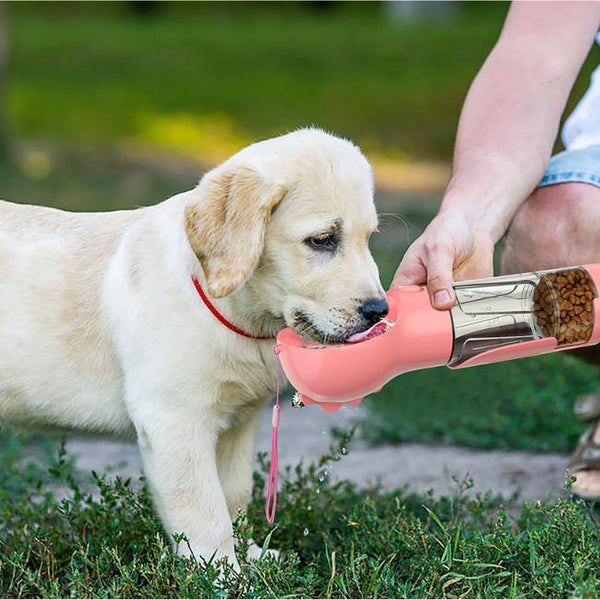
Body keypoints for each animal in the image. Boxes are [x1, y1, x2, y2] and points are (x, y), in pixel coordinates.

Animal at [0, 126, 384, 568]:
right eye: (322, 240)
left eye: (369, 239)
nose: (380, 310)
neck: (237, 313)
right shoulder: (174, 420)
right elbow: (203, 507)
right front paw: (221, 572)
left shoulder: (237, 424)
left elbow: (234, 495)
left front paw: (251, 556)